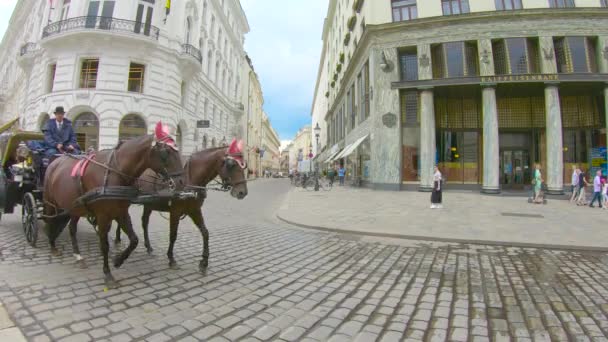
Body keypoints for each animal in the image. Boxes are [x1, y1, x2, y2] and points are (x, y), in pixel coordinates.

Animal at [43, 124, 183, 288]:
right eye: (166, 152)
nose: (181, 182)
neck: (116, 173)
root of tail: (55, 162)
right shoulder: (103, 216)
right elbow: (104, 245)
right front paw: (108, 273)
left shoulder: (121, 212)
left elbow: (134, 240)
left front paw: (118, 260)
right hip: (50, 201)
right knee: (49, 220)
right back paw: (53, 245)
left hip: (76, 207)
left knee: (72, 228)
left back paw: (78, 256)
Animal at [124, 140, 248, 272]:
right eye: (231, 165)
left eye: (244, 165)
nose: (242, 192)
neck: (190, 181)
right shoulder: (175, 211)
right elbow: (173, 235)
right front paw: (171, 259)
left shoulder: (195, 210)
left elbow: (205, 232)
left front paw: (204, 261)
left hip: (148, 205)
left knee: (144, 222)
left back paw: (147, 247)